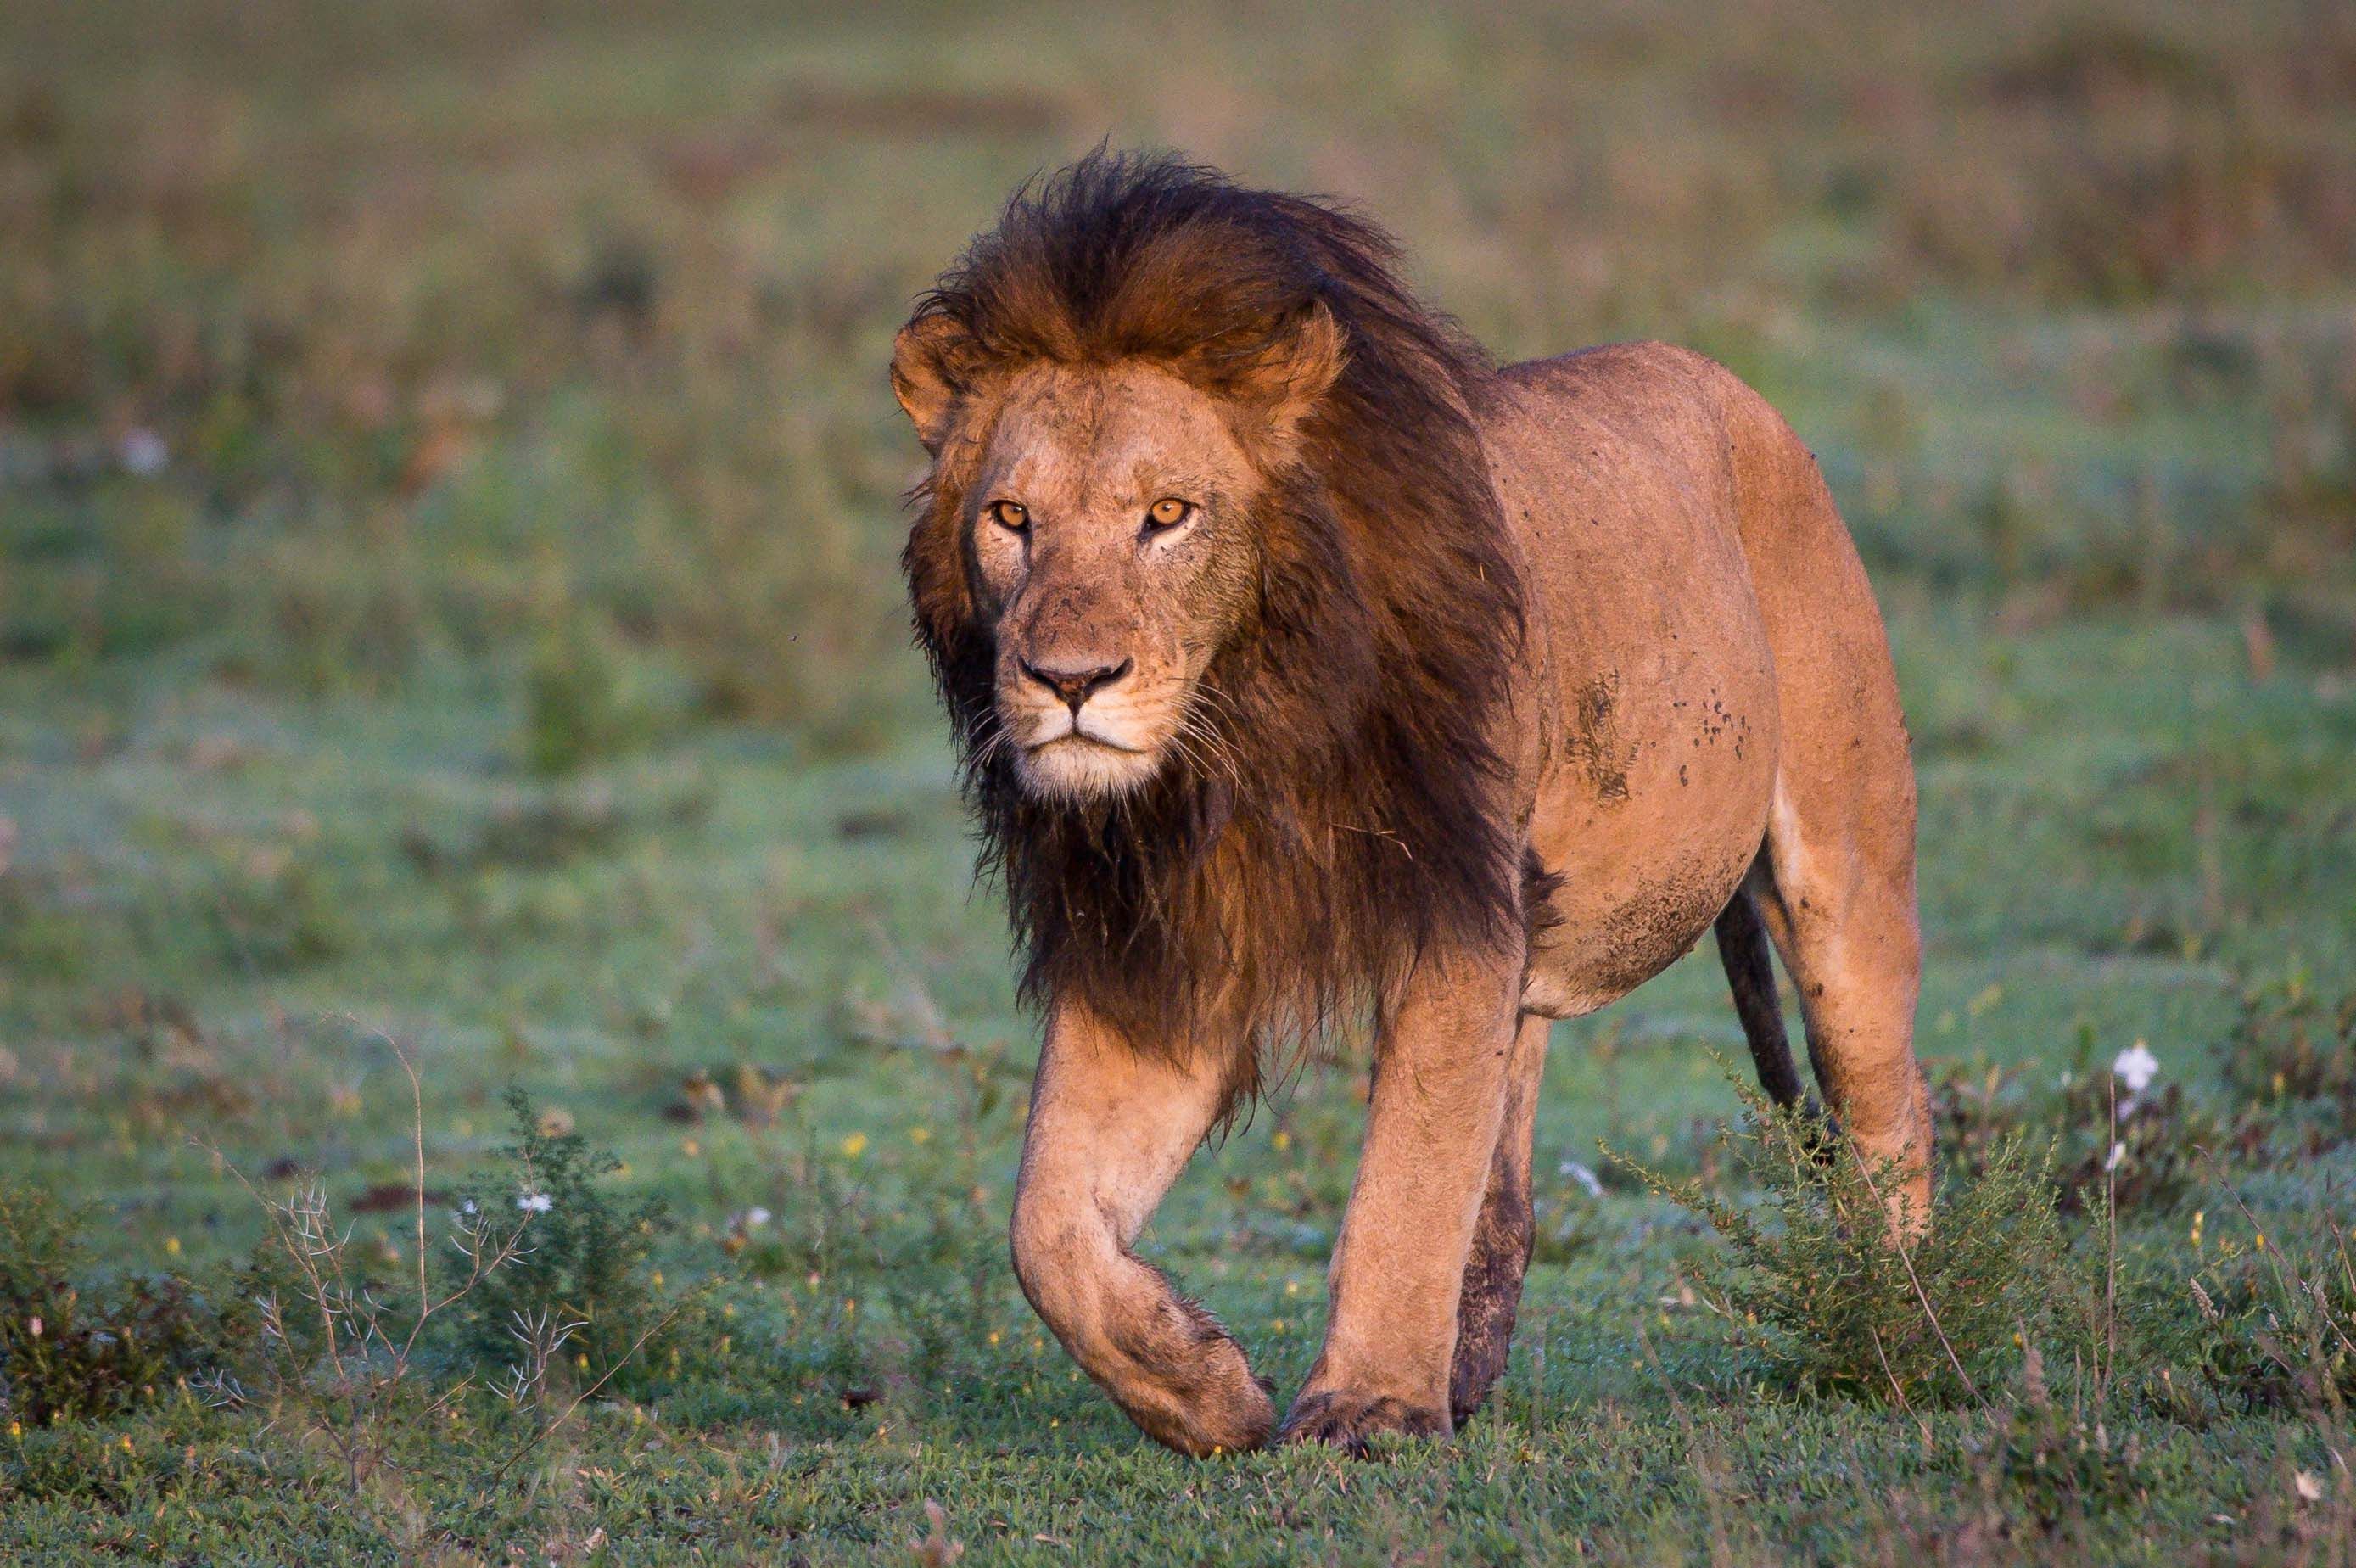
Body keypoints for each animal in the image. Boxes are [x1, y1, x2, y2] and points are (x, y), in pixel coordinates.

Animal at [886, 149, 1932, 1452]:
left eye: (1166, 515)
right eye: (1010, 519)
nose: (1069, 682)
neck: (1241, 734)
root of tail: (1734, 389)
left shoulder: (1454, 910)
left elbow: (1406, 1178)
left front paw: (1368, 1409)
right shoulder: (1166, 943)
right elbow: (1044, 1226)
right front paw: (1204, 1390)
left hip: (1842, 872)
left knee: (1889, 1110)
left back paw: (1900, 1332)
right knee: (1509, 1175)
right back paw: (1468, 1372)